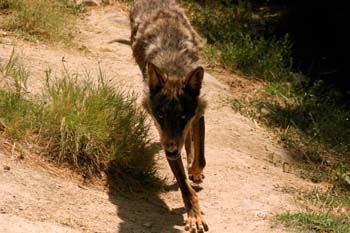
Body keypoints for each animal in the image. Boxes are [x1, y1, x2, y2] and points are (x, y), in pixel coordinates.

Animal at [130, 0, 209, 232]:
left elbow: (200, 158)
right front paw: (194, 215)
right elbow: (183, 183)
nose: (172, 151)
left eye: (183, 116)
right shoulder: (164, 137)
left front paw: (194, 169)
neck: (174, 70)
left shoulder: (198, 115)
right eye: (160, 115)